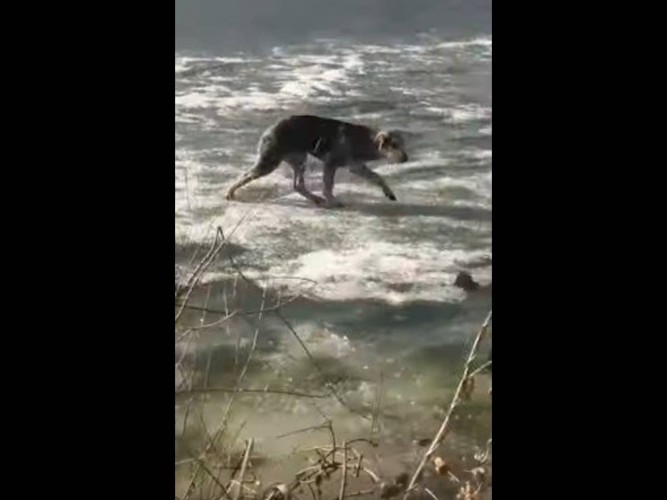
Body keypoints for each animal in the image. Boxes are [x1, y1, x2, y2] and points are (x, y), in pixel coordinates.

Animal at [224, 114, 408, 206]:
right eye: (394, 145)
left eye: (402, 144)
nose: (406, 158)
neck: (364, 140)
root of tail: (268, 130)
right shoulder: (331, 163)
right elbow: (328, 185)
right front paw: (331, 200)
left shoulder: (355, 166)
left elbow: (377, 177)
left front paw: (389, 193)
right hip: (270, 162)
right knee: (245, 175)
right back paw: (230, 193)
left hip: (299, 160)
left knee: (298, 185)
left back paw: (315, 199)